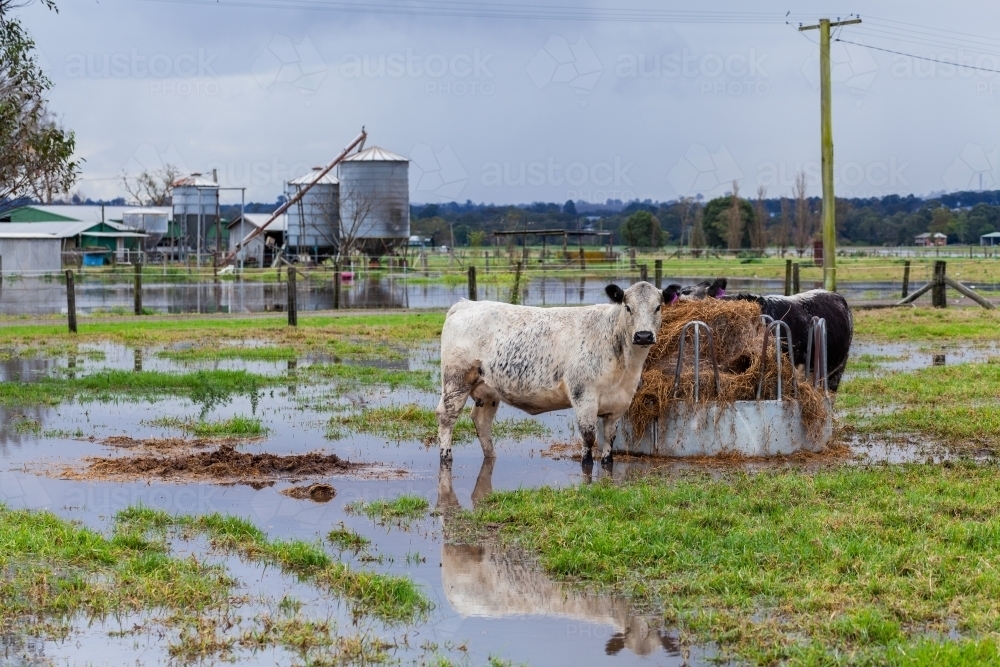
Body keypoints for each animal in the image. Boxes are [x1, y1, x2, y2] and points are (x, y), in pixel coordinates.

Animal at [434, 280, 676, 464]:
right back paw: (446, 457)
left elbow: (609, 440)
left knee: (481, 421)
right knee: (446, 417)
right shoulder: (583, 396)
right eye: (628, 307)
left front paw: (607, 464)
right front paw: (587, 467)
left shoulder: (618, 404)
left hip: (488, 390)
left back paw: (490, 456)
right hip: (456, 381)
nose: (643, 335)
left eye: (658, 307)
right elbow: (589, 438)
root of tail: (465, 305)